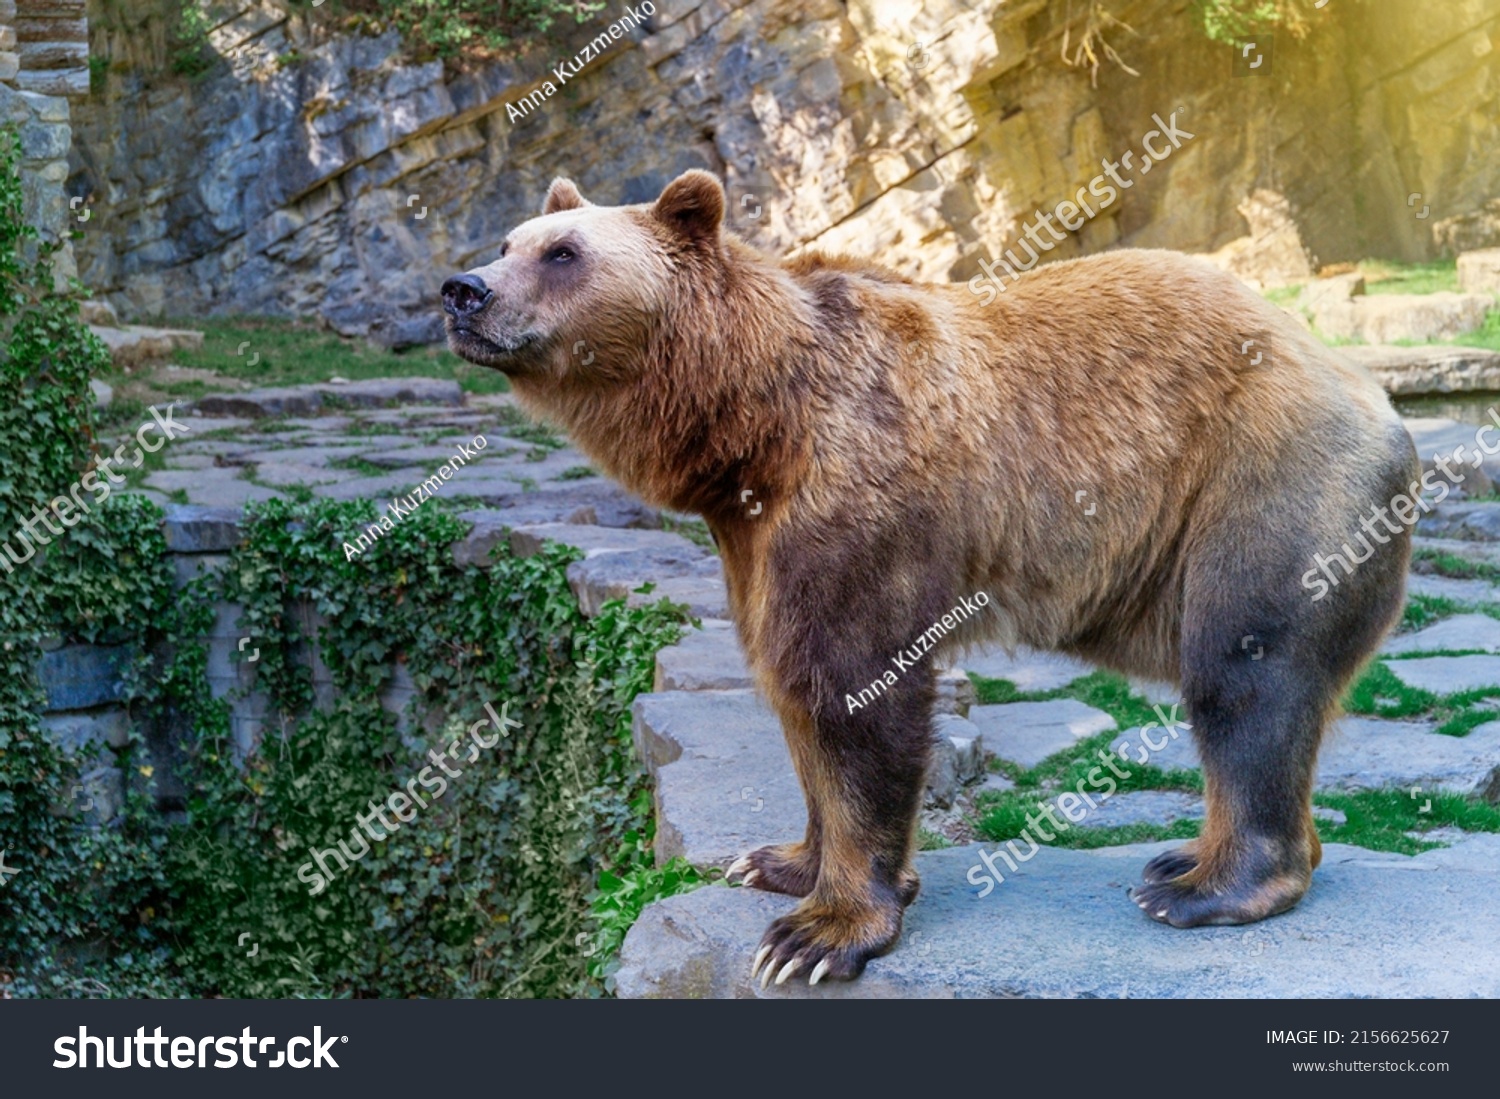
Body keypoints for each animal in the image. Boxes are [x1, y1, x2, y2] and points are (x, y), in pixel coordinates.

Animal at [441, 169, 1416, 983]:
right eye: (509, 240)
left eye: (563, 253)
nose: (463, 290)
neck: (754, 422)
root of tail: (1368, 389)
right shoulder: (753, 540)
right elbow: (790, 684)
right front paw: (779, 861)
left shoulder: (862, 489)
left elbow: (858, 689)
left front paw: (816, 934)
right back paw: (1188, 855)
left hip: (1262, 481)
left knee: (1245, 668)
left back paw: (1205, 885)